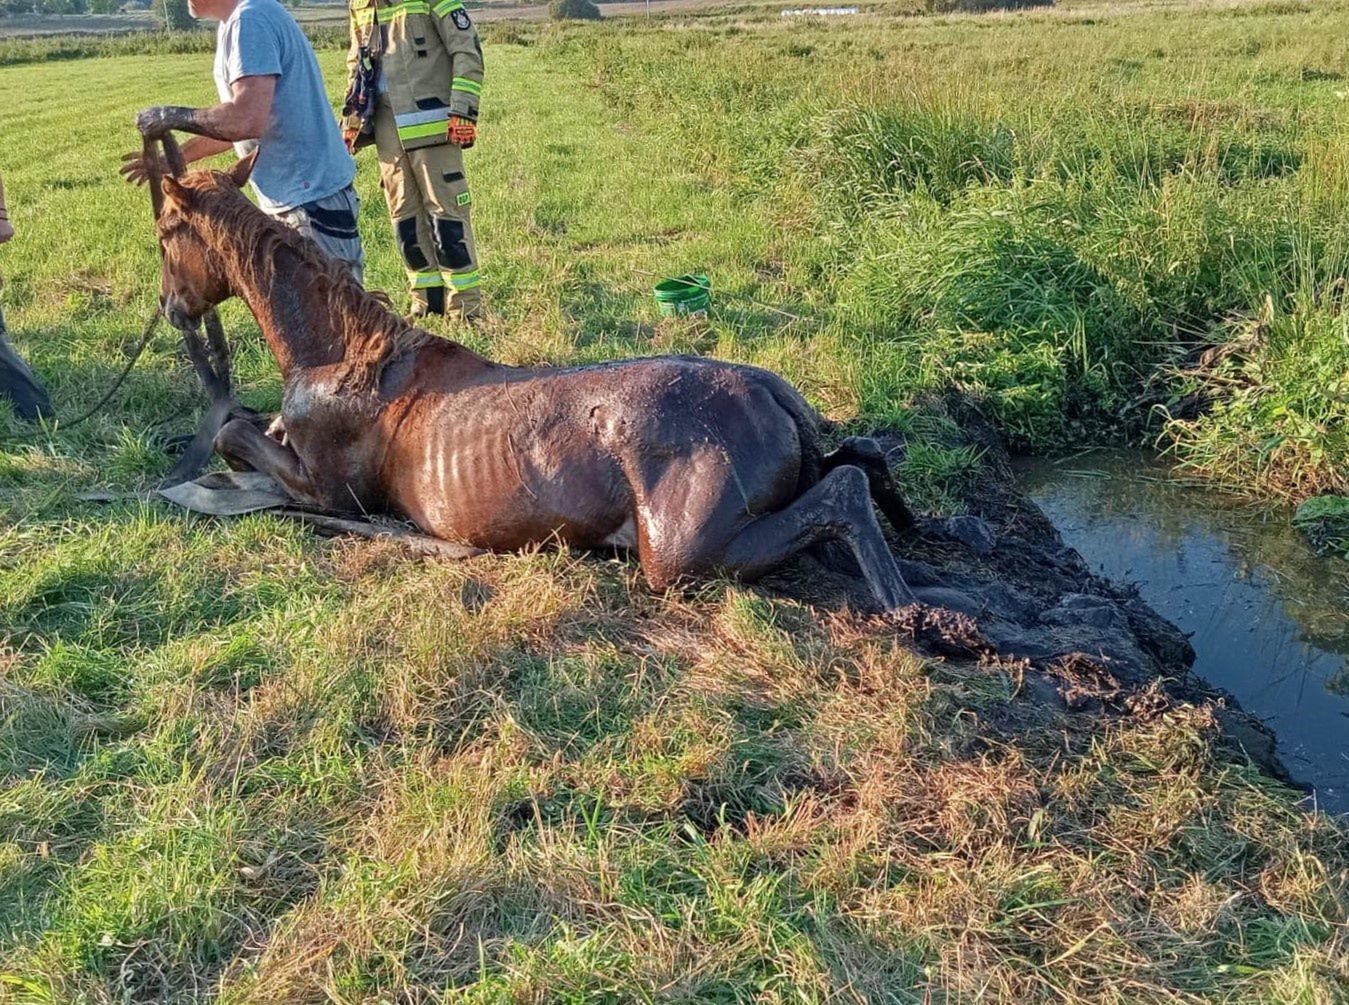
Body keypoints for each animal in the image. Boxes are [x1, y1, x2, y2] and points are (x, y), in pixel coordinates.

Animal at [153, 153, 922, 607]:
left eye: (164, 233)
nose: (170, 307)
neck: (339, 352)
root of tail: (769, 391)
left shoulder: (332, 492)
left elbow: (230, 433)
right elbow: (246, 427)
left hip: (682, 555)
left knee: (843, 490)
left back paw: (901, 605)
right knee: (862, 455)